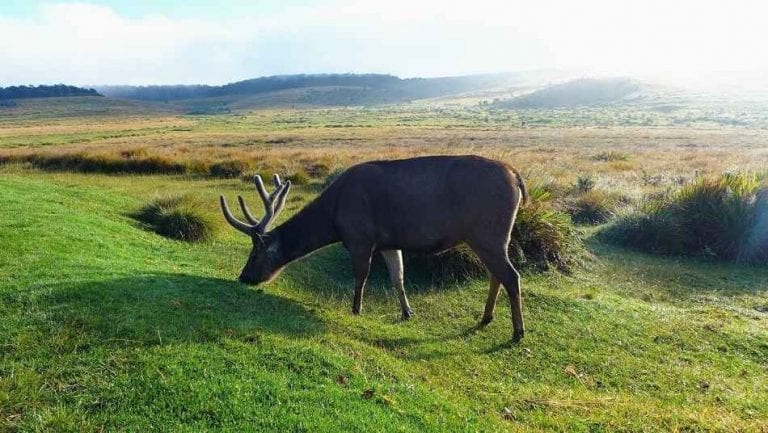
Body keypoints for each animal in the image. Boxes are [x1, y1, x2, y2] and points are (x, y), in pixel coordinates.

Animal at [218, 155, 528, 340]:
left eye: (254, 254)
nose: (243, 276)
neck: (334, 220)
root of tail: (517, 177)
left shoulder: (360, 237)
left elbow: (361, 276)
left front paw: (356, 309)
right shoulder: (389, 242)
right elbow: (398, 277)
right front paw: (407, 312)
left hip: (487, 232)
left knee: (511, 276)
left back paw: (517, 331)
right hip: (491, 237)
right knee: (497, 275)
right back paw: (486, 318)